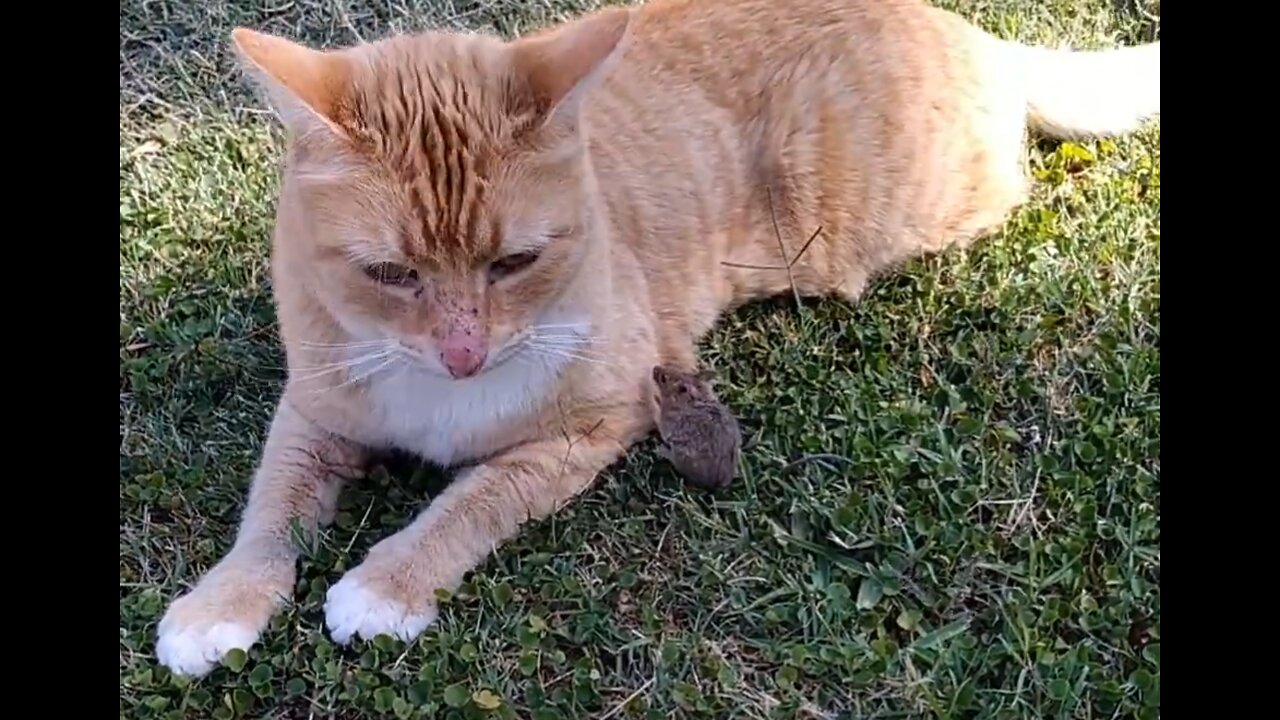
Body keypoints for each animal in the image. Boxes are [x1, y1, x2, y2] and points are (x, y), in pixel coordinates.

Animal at [154, 0, 1157, 671]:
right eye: (391, 274)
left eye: (515, 262)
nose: (465, 355)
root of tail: (964, 28)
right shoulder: (314, 413)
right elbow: (268, 513)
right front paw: (220, 605)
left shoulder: (589, 429)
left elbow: (469, 504)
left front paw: (388, 582)